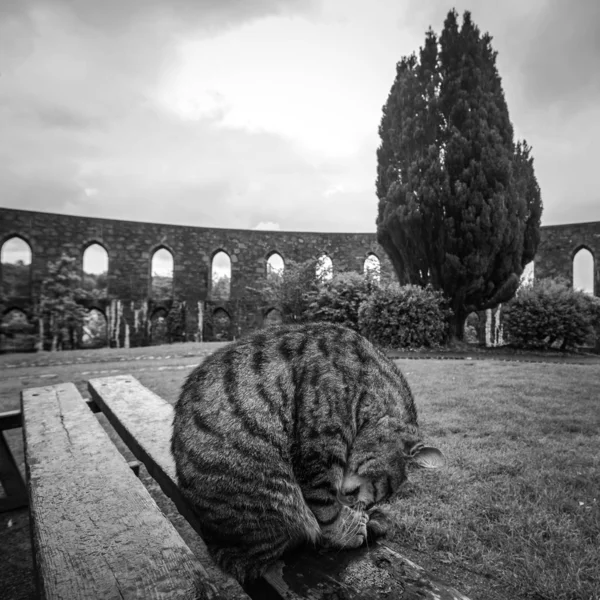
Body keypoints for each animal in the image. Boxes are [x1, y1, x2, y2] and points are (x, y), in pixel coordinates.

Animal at [171, 322, 442, 584]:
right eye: (379, 484)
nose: (361, 503)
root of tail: (215, 543)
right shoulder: (318, 453)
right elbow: (326, 509)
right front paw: (346, 530)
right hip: (275, 495)